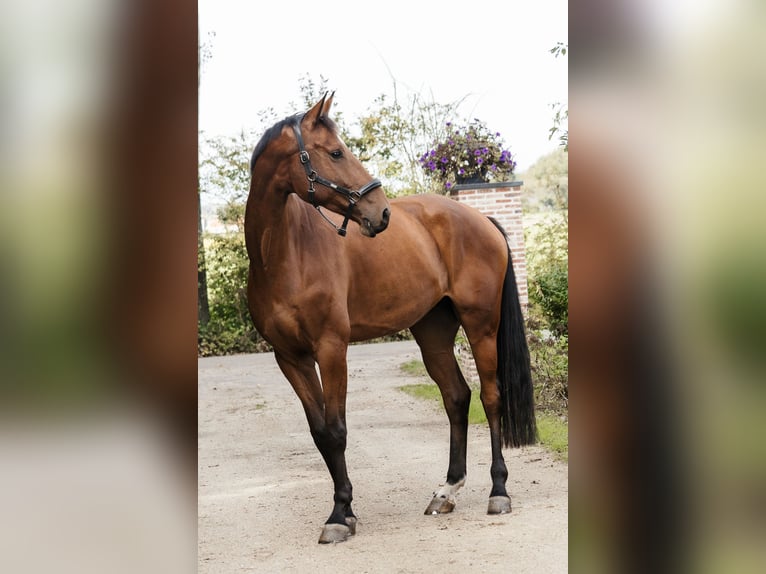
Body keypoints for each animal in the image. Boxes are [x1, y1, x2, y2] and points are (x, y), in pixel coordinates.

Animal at [245, 93, 536, 544]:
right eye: (335, 152)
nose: (380, 213)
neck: (285, 254)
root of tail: (480, 220)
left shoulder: (332, 349)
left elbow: (337, 430)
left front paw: (340, 513)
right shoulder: (289, 357)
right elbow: (319, 433)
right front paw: (343, 511)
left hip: (481, 325)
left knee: (491, 397)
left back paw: (499, 491)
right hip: (432, 332)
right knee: (457, 397)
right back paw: (446, 491)